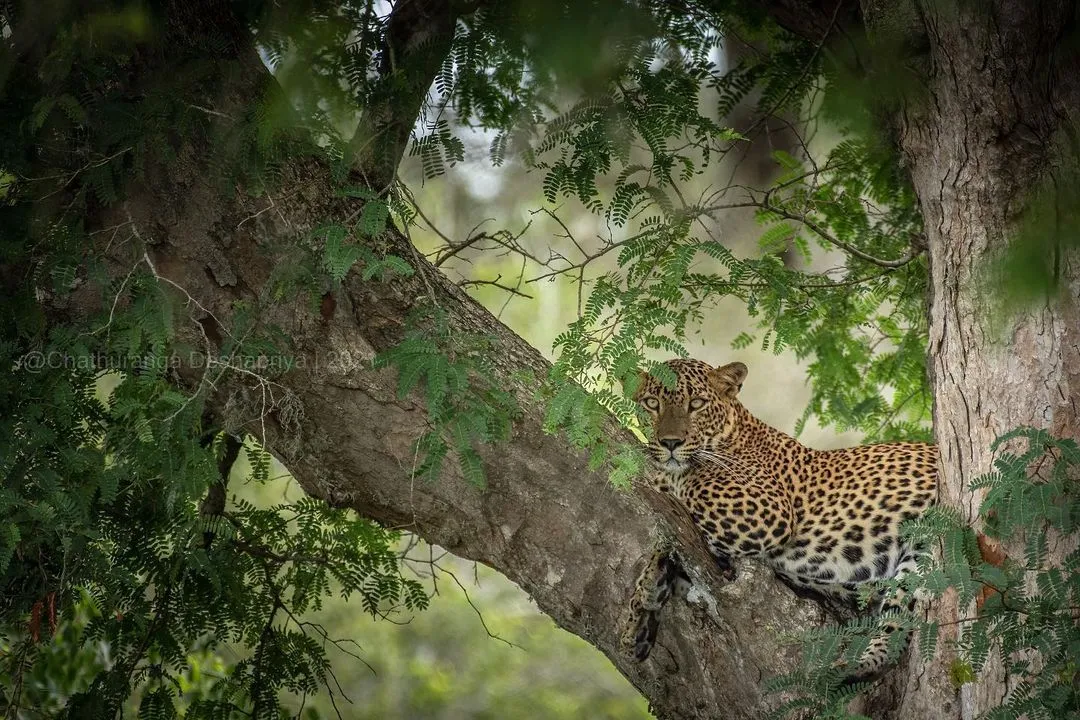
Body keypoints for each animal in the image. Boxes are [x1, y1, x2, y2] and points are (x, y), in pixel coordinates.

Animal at [622, 358, 941, 686]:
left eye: (696, 404)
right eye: (652, 403)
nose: (670, 442)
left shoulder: (764, 511)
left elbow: (686, 489)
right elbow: (666, 547)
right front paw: (639, 616)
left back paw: (852, 667)